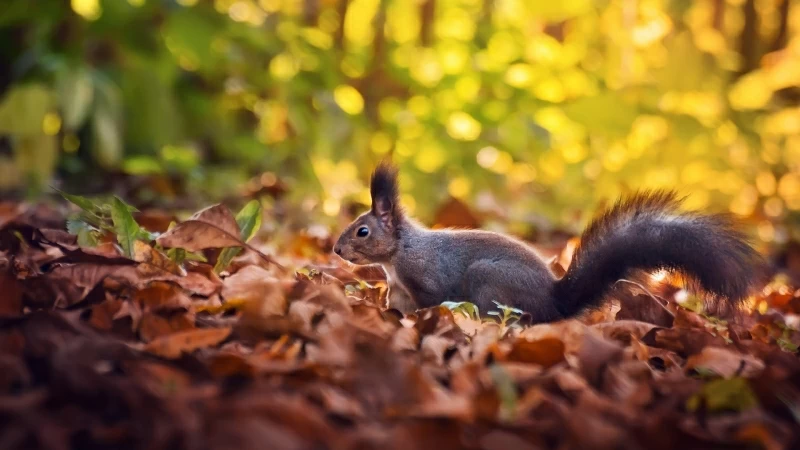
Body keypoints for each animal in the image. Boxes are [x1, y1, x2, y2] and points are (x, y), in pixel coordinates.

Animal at [332, 160, 764, 322]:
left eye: (362, 231)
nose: (336, 250)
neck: (398, 256)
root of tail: (554, 303)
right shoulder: (399, 290)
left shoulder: (427, 277)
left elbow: (434, 299)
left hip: (489, 282)